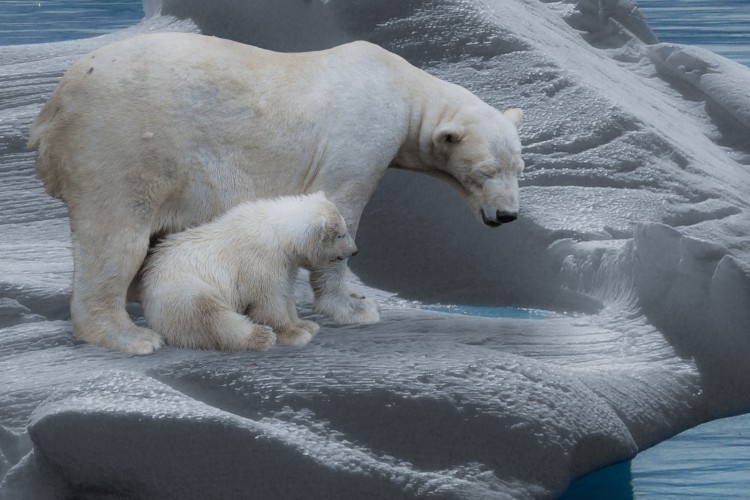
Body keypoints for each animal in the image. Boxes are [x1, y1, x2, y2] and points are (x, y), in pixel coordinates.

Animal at [27, 32, 524, 356]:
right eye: (485, 172)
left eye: (519, 169)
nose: (508, 215)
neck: (403, 88)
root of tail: (50, 111)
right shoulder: (359, 138)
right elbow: (341, 206)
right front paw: (353, 307)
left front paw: (357, 297)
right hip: (119, 144)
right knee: (117, 237)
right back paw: (131, 335)